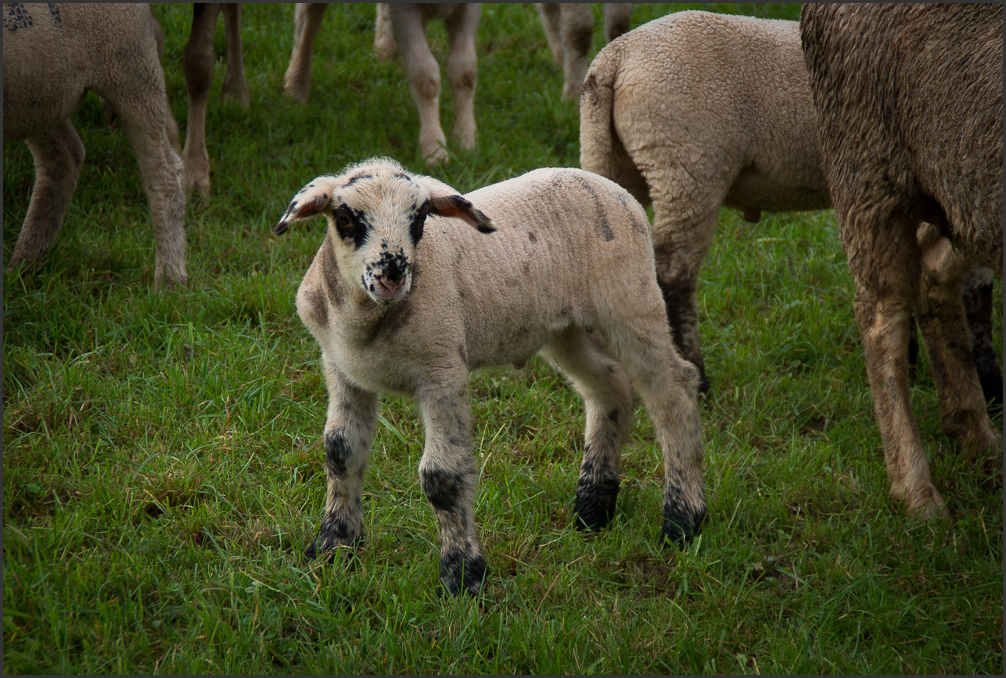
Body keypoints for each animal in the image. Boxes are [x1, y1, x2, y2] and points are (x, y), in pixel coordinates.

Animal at [3, 1, 188, 285]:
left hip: (129, 66)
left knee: (164, 173)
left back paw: (169, 279)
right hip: (37, 92)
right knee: (65, 157)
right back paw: (23, 266)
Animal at [271, 156, 704, 591]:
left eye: (420, 217)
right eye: (345, 218)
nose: (392, 274)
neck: (366, 324)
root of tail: (605, 184)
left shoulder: (442, 370)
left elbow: (442, 476)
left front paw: (463, 575)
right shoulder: (341, 367)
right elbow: (340, 451)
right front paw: (332, 549)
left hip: (630, 298)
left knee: (673, 391)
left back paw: (683, 521)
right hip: (562, 327)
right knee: (609, 387)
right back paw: (593, 508)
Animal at [285, 3, 480, 164]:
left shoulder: (469, 8)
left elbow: (464, 72)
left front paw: (465, 140)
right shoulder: (405, 11)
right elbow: (426, 76)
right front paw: (435, 149)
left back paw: (386, 50)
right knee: (309, 18)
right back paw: (296, 85)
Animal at [796, 2, 1001, 515]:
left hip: (957, 196)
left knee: (932, 275)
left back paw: (976, 431)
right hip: (869, 171)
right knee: (880, 316)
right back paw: (917, 492)